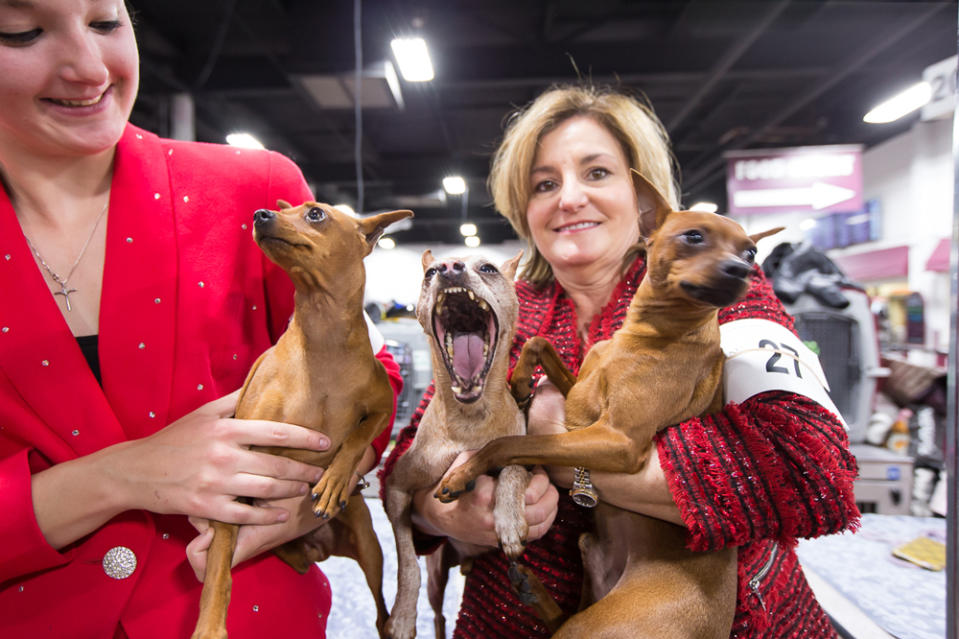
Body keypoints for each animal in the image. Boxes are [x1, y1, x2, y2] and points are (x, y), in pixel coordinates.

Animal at [191, 201, 412, 639]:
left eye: (315, 214)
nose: (260, 214)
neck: (322, 338)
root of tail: (320, 547)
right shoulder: (237, 470)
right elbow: (218, 569)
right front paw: (209, 626)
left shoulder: (384, 406)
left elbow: (356, 438)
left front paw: (334, 480)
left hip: (369, 546)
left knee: (381, 614)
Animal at [382, 249, 528, 639]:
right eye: (430, 273)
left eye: (489, 268)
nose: (448, 269)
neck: (469, 420)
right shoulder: (396, 491)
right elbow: (406, 563)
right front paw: (402, 616)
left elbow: (512, 465)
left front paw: (509, 518)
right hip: (438, 576)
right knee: (438, 614)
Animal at [438, 172, 784, 636]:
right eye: (694, 236)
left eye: (751, 251)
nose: (743, 269)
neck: (644, 336)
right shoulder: (580, 398)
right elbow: (539, 341)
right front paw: (521, 380)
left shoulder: (617, 441)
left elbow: (507, 443)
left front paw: (463, 473)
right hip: (588, 560)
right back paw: (532, 589)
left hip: (591, 626)